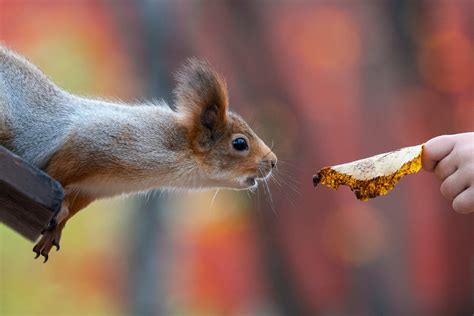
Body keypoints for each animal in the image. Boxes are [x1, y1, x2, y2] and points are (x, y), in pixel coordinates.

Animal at [0, 45, 278, 262]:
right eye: (240, 143)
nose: (273, 162)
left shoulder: (92, 189)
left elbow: (72, 205)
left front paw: (54, 232)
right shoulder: (91, 144)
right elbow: (56, 176)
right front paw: (59, 211)